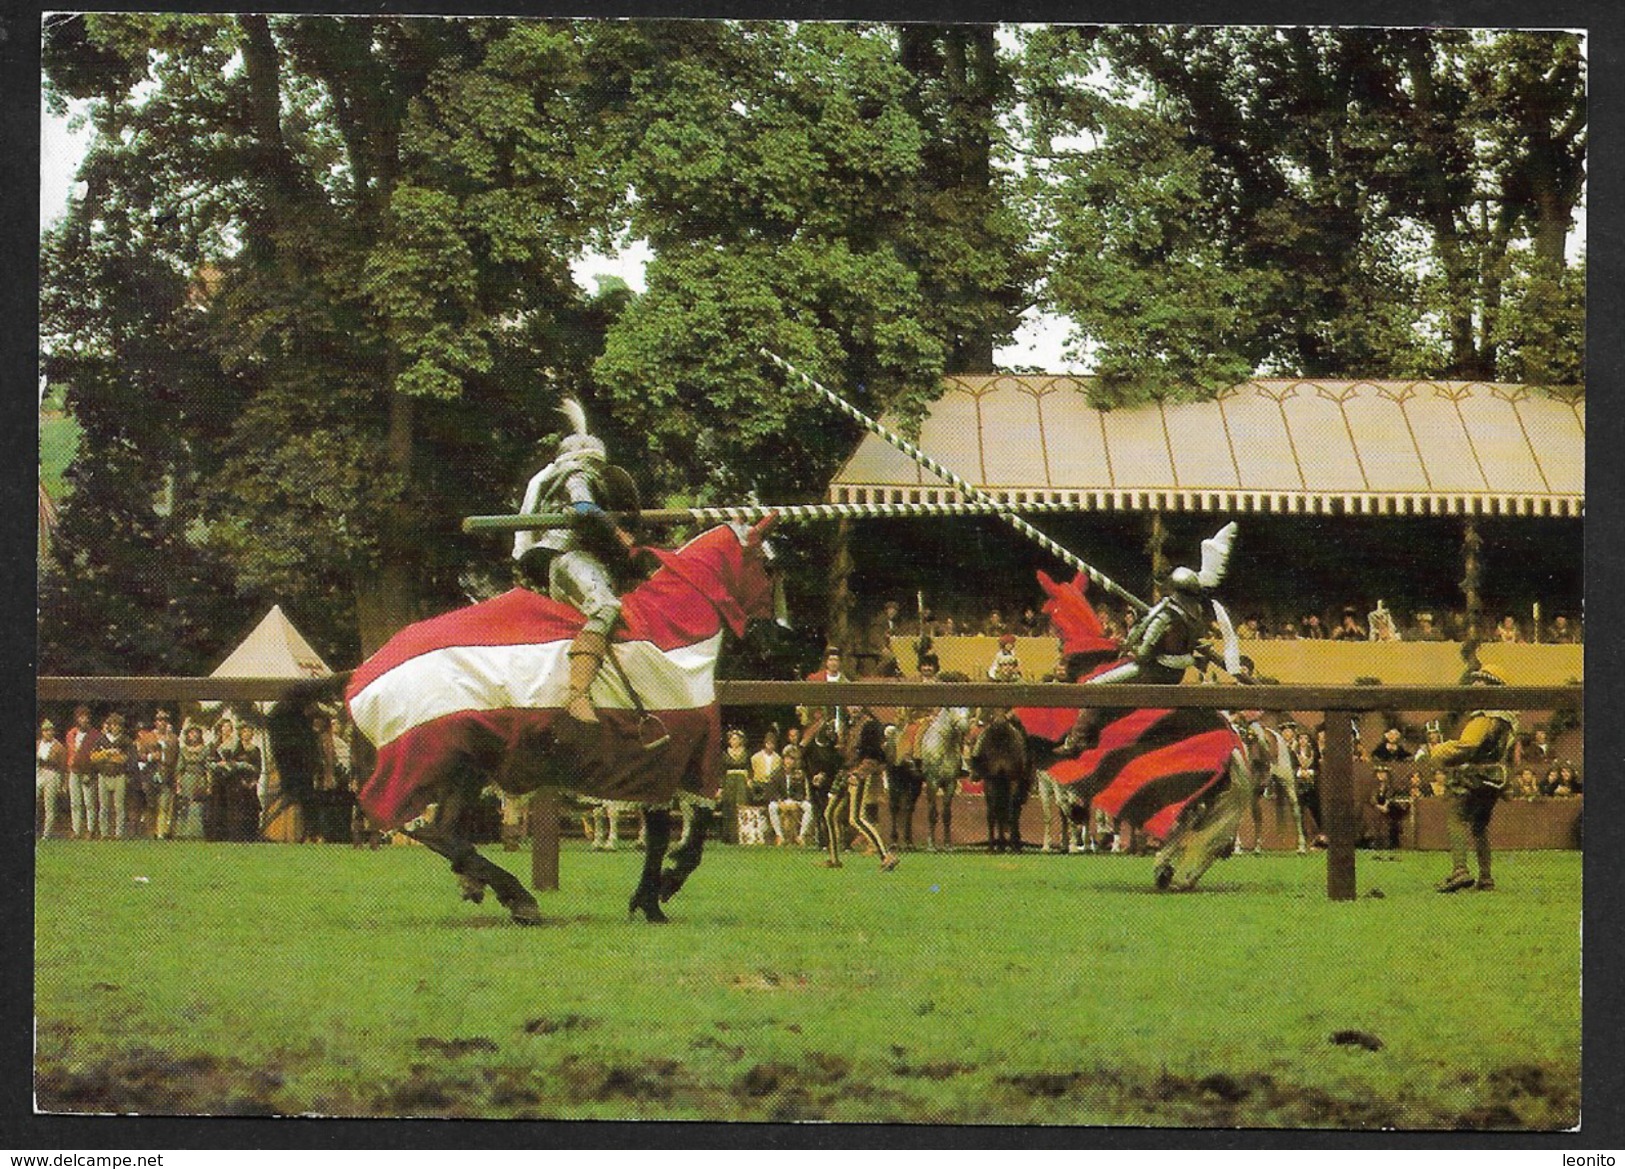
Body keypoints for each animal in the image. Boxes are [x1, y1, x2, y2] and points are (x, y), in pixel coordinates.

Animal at [271, 520, 780, 923]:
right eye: (769, 565)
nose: (776, 624)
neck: (675, 634)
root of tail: (358, 675)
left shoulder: (653, 772)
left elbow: (658, 836)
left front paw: (648, 900)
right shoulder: (678, 760)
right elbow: (683, 838)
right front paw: (664, 890)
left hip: (465, 770)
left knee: (440, 830)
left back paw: (488, 885)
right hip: (435, 763)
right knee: (420, 826)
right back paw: (515, 894)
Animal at [968, 708, 1033, 851]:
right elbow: (1010, 812)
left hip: (995, 782)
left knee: (996, 813)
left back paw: (995, 846)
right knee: (1007, 812)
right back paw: (1008, 845)